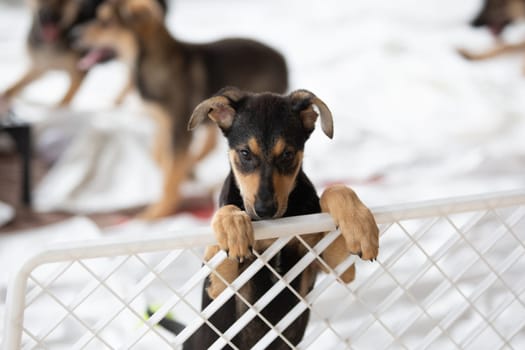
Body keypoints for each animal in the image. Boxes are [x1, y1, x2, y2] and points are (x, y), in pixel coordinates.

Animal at [160, 87, 376, 348]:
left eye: (288, 154)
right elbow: (225, 213)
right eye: (245, 153)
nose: (265, 210)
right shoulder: (217, 287)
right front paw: (233, 227)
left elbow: (337, 189)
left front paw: (361, 226)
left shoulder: (335, 266)